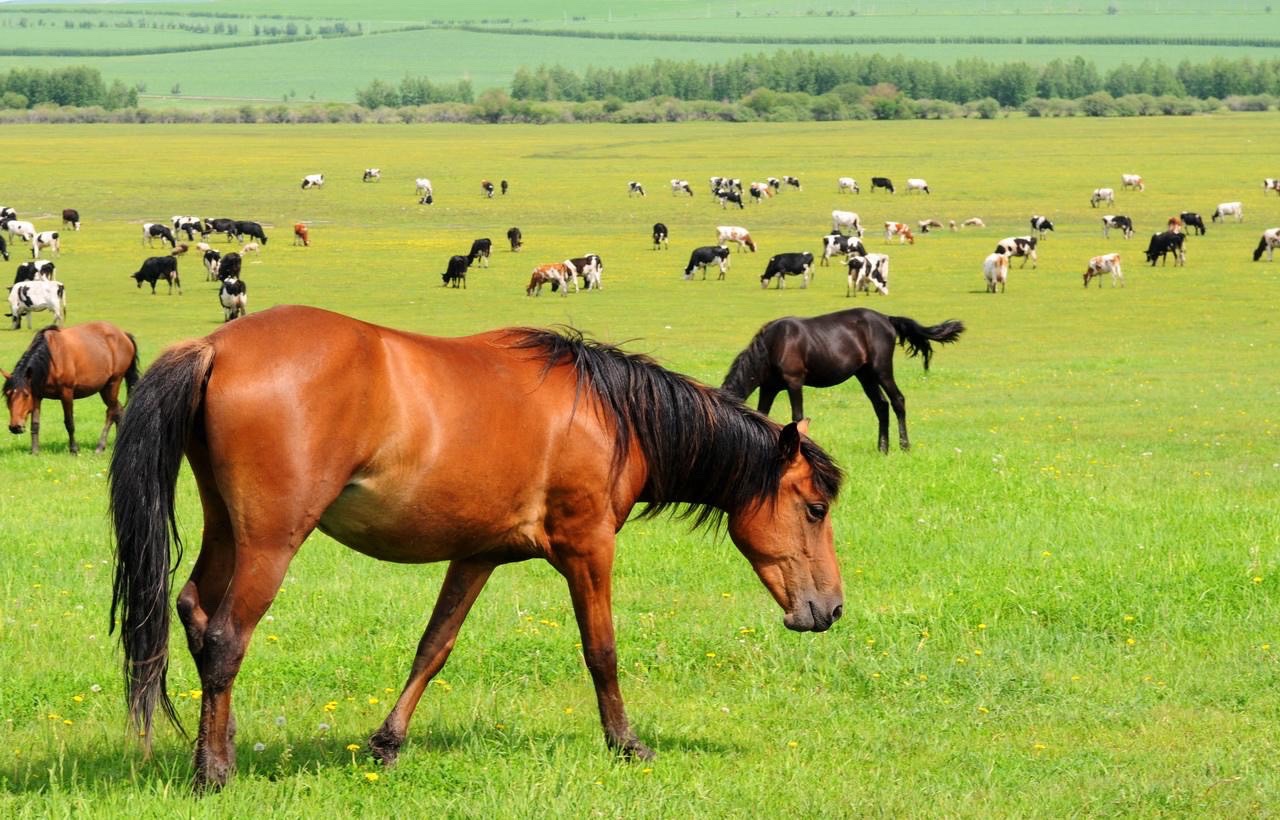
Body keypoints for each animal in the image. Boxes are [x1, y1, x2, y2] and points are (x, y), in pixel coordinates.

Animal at [4, 322, 138, 455]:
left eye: (26, 395)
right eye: (7, 395)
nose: (15, 427)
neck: (51, 359)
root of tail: (124, 334)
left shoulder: (66, 393)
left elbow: (69, 422)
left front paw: (74, 449)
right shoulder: (37, 395)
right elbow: (35, 424)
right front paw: (35, 451)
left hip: (113, 383)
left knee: (111, 412)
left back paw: (100, 447)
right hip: (104, 389)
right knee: (119, 411)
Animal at [108, 305, 844, 792]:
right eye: (815, 508)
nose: (831, 609)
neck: (611, 414)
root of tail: (215, 346)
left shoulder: (477, 555)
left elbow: (433, 647)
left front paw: (387, 742)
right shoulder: (587, 549)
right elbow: (602, 651)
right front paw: (626, 743)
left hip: (226, 530)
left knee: (196, 615)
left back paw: (223, 745)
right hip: (269, 542)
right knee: (227, 636)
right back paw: (213, 772)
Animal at [721, 308, 965, 453]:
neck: (774, 344)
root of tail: (887, 319)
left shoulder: (794, 383)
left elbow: (798, 416)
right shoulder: (769, 388)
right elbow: (762, 414)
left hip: (881, 370)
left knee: (898, 400)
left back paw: (904, 446)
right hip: (865, 375)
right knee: (881, 405)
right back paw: (882, 448)